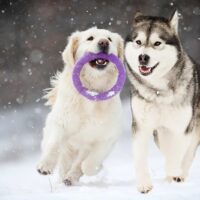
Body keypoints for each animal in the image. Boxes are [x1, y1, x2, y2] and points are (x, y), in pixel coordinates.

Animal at [36, 27, 123, 185]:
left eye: (110, 39)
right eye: (90, 38)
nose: (104, 42)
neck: (92, 93)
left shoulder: (107, 137)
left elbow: (90, 162)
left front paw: (93, 168)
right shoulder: (61, 122)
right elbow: (54, 144)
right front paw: (45, 166)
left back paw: (71, 178)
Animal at [125, 11, 200, 194]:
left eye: (157, 43)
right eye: (138, 42)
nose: (143, 57)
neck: (159, 91)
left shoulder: (183, 128)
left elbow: (177, 155)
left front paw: (174, 175)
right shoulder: (141, 126)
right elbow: (140, 157)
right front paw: (144, 185)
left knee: (186, 155)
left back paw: (179, 176)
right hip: (160, 135)